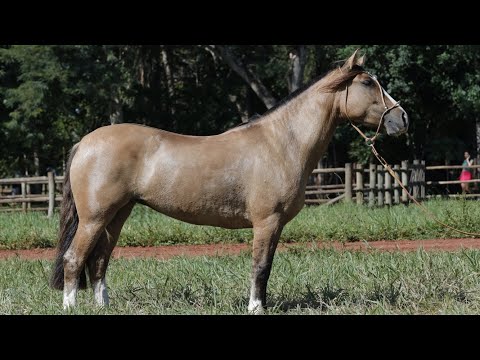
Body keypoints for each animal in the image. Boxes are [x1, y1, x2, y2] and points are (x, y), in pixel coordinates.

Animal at [49, 50, 408, 312]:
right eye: (367, 82)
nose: (401, 118)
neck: (282, 142)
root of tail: (85, 142)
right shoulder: (267, 222)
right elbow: (261, 266)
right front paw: (255, 307)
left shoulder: (274, 225)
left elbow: (266, 266)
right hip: (94, 218)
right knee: (74, 259)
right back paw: (70, 306)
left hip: (117, 215)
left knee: (99, 261)